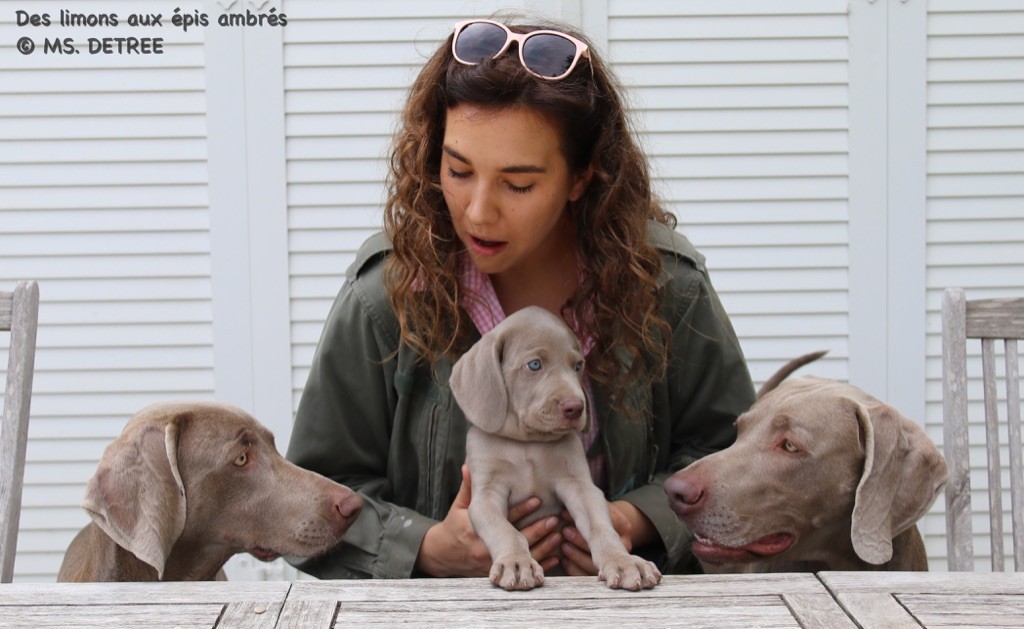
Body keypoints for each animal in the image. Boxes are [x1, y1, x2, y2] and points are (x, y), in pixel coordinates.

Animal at [450, 307, 659, 594]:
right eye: (534, 365)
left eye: (578, 366)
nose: (576, 407)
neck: (527, 444)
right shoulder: (486, 494)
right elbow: (504, 529)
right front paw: (516, 561)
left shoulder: (579, 486)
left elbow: (602, 527)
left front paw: (623, 561)